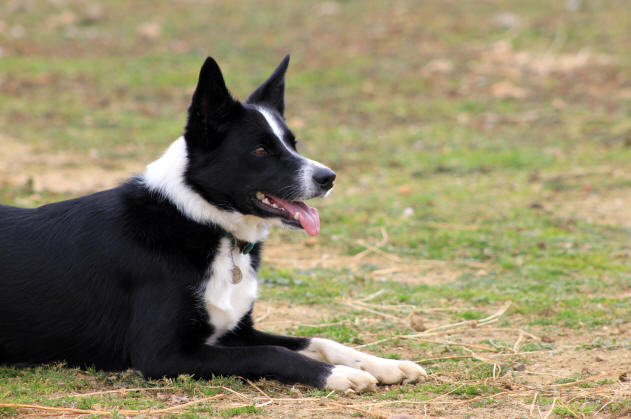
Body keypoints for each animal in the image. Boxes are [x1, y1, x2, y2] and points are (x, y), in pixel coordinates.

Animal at [0, 55, 428, 394]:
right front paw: (338, 375)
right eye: (261, 149)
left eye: (293, 143)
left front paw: (385, 364)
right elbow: (273, 352)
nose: (329, 177)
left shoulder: (237, 332)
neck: (202, 220)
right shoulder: (163, 355)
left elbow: (317, 339)